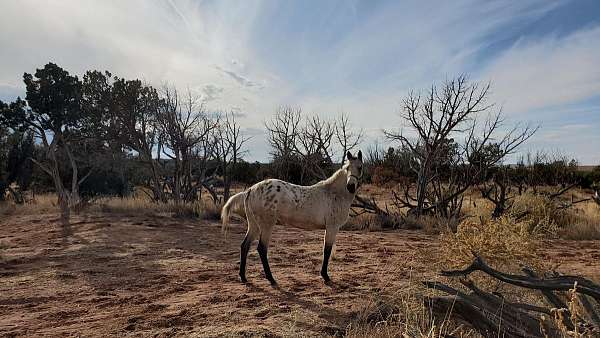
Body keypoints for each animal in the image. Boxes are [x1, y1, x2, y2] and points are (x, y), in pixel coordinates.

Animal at [219, 151, 360, 286]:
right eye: (347, 168)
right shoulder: (332, 227)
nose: (351, 186)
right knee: (262, 249)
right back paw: (271, 279)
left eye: (360, 166)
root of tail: (250, 190)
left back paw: (243, 277)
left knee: (245, 246)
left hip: (254, 225)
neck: (334, 193)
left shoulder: (330, 228)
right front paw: (325, 276)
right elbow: (327, 250)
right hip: (266, 225)